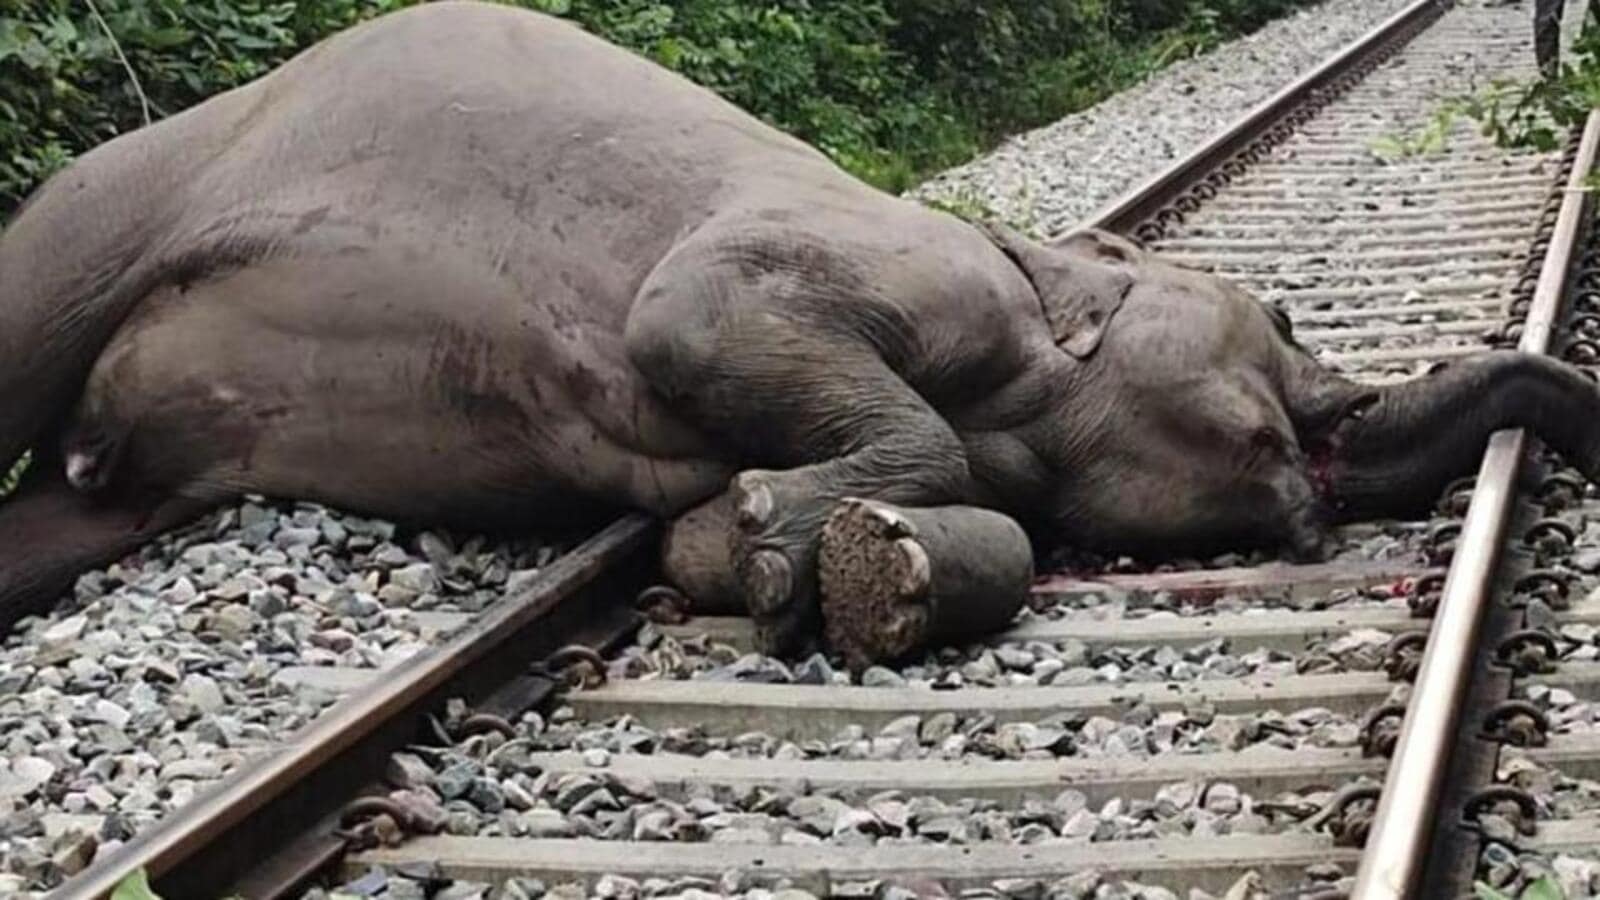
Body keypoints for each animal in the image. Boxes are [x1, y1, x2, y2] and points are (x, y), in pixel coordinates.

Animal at [3, 1, 1599, 657]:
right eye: (1279, 312)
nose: (1330, 431)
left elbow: (693, 541)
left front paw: (797, 560)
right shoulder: (870, 261)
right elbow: (697, 318)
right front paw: (798, 524)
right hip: (117, 203)